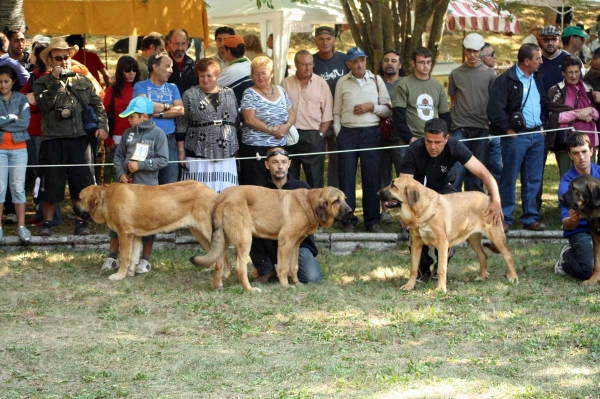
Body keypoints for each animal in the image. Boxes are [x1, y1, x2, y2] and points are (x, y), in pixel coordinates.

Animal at [75, 181, 225, 284]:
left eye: (80, 198)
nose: (73, 208)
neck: (106, 197)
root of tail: (214, 192)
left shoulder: (125, 233)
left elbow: (124, 256)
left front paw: (119, 275)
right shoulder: (135, 235)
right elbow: (134, 256)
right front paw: (130, 272)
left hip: (207, 230)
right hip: (198, 232)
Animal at [191, 186, 352, 292]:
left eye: (345, 199)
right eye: (336, 201)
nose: (351, 212)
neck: (308, 202)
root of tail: (221, 196)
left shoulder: (295, 244)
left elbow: (294, 267)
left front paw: (297, 283)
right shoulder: (285, 241)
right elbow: (284, 268)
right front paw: (286, 286)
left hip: (223, 239)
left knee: (218, 263)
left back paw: (217, 286)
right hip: (245, 239)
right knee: (240, 268)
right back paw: (250, 289)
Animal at [380, 177, 516, 292]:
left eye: (393, 186)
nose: (377, 193)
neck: (419, 211)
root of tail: (489, 198)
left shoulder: (442, 244)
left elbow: (441, 269)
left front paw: (441, 289)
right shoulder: (416, 243)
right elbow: (413, 268)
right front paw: (409, 286)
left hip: (496, 237)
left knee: (508, 256)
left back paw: (513, 277)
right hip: (473, 239)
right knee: (483, 255)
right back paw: (482, 277)